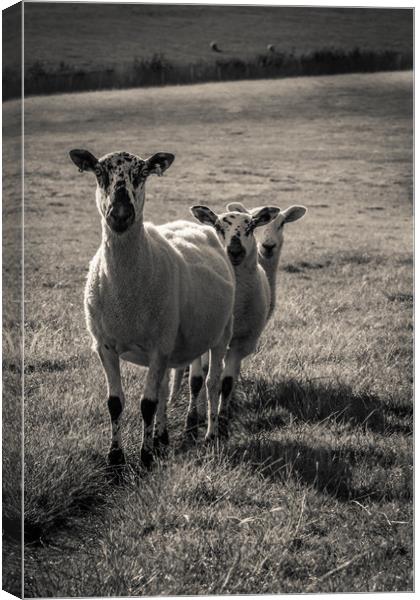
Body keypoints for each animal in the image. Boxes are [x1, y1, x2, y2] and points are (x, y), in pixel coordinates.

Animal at [67, 150, 235, 468]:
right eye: (99, 173)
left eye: (142, 173)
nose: (120, 215)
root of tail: (194, 225)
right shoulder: (105, 345)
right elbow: (116, 403)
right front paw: (116, 458)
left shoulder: (159, 346)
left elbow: (147, 404)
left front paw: (145, 458)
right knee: (166, 387)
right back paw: (162, 436)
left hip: (220, 335)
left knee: (212, 382)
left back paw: (210, 433)